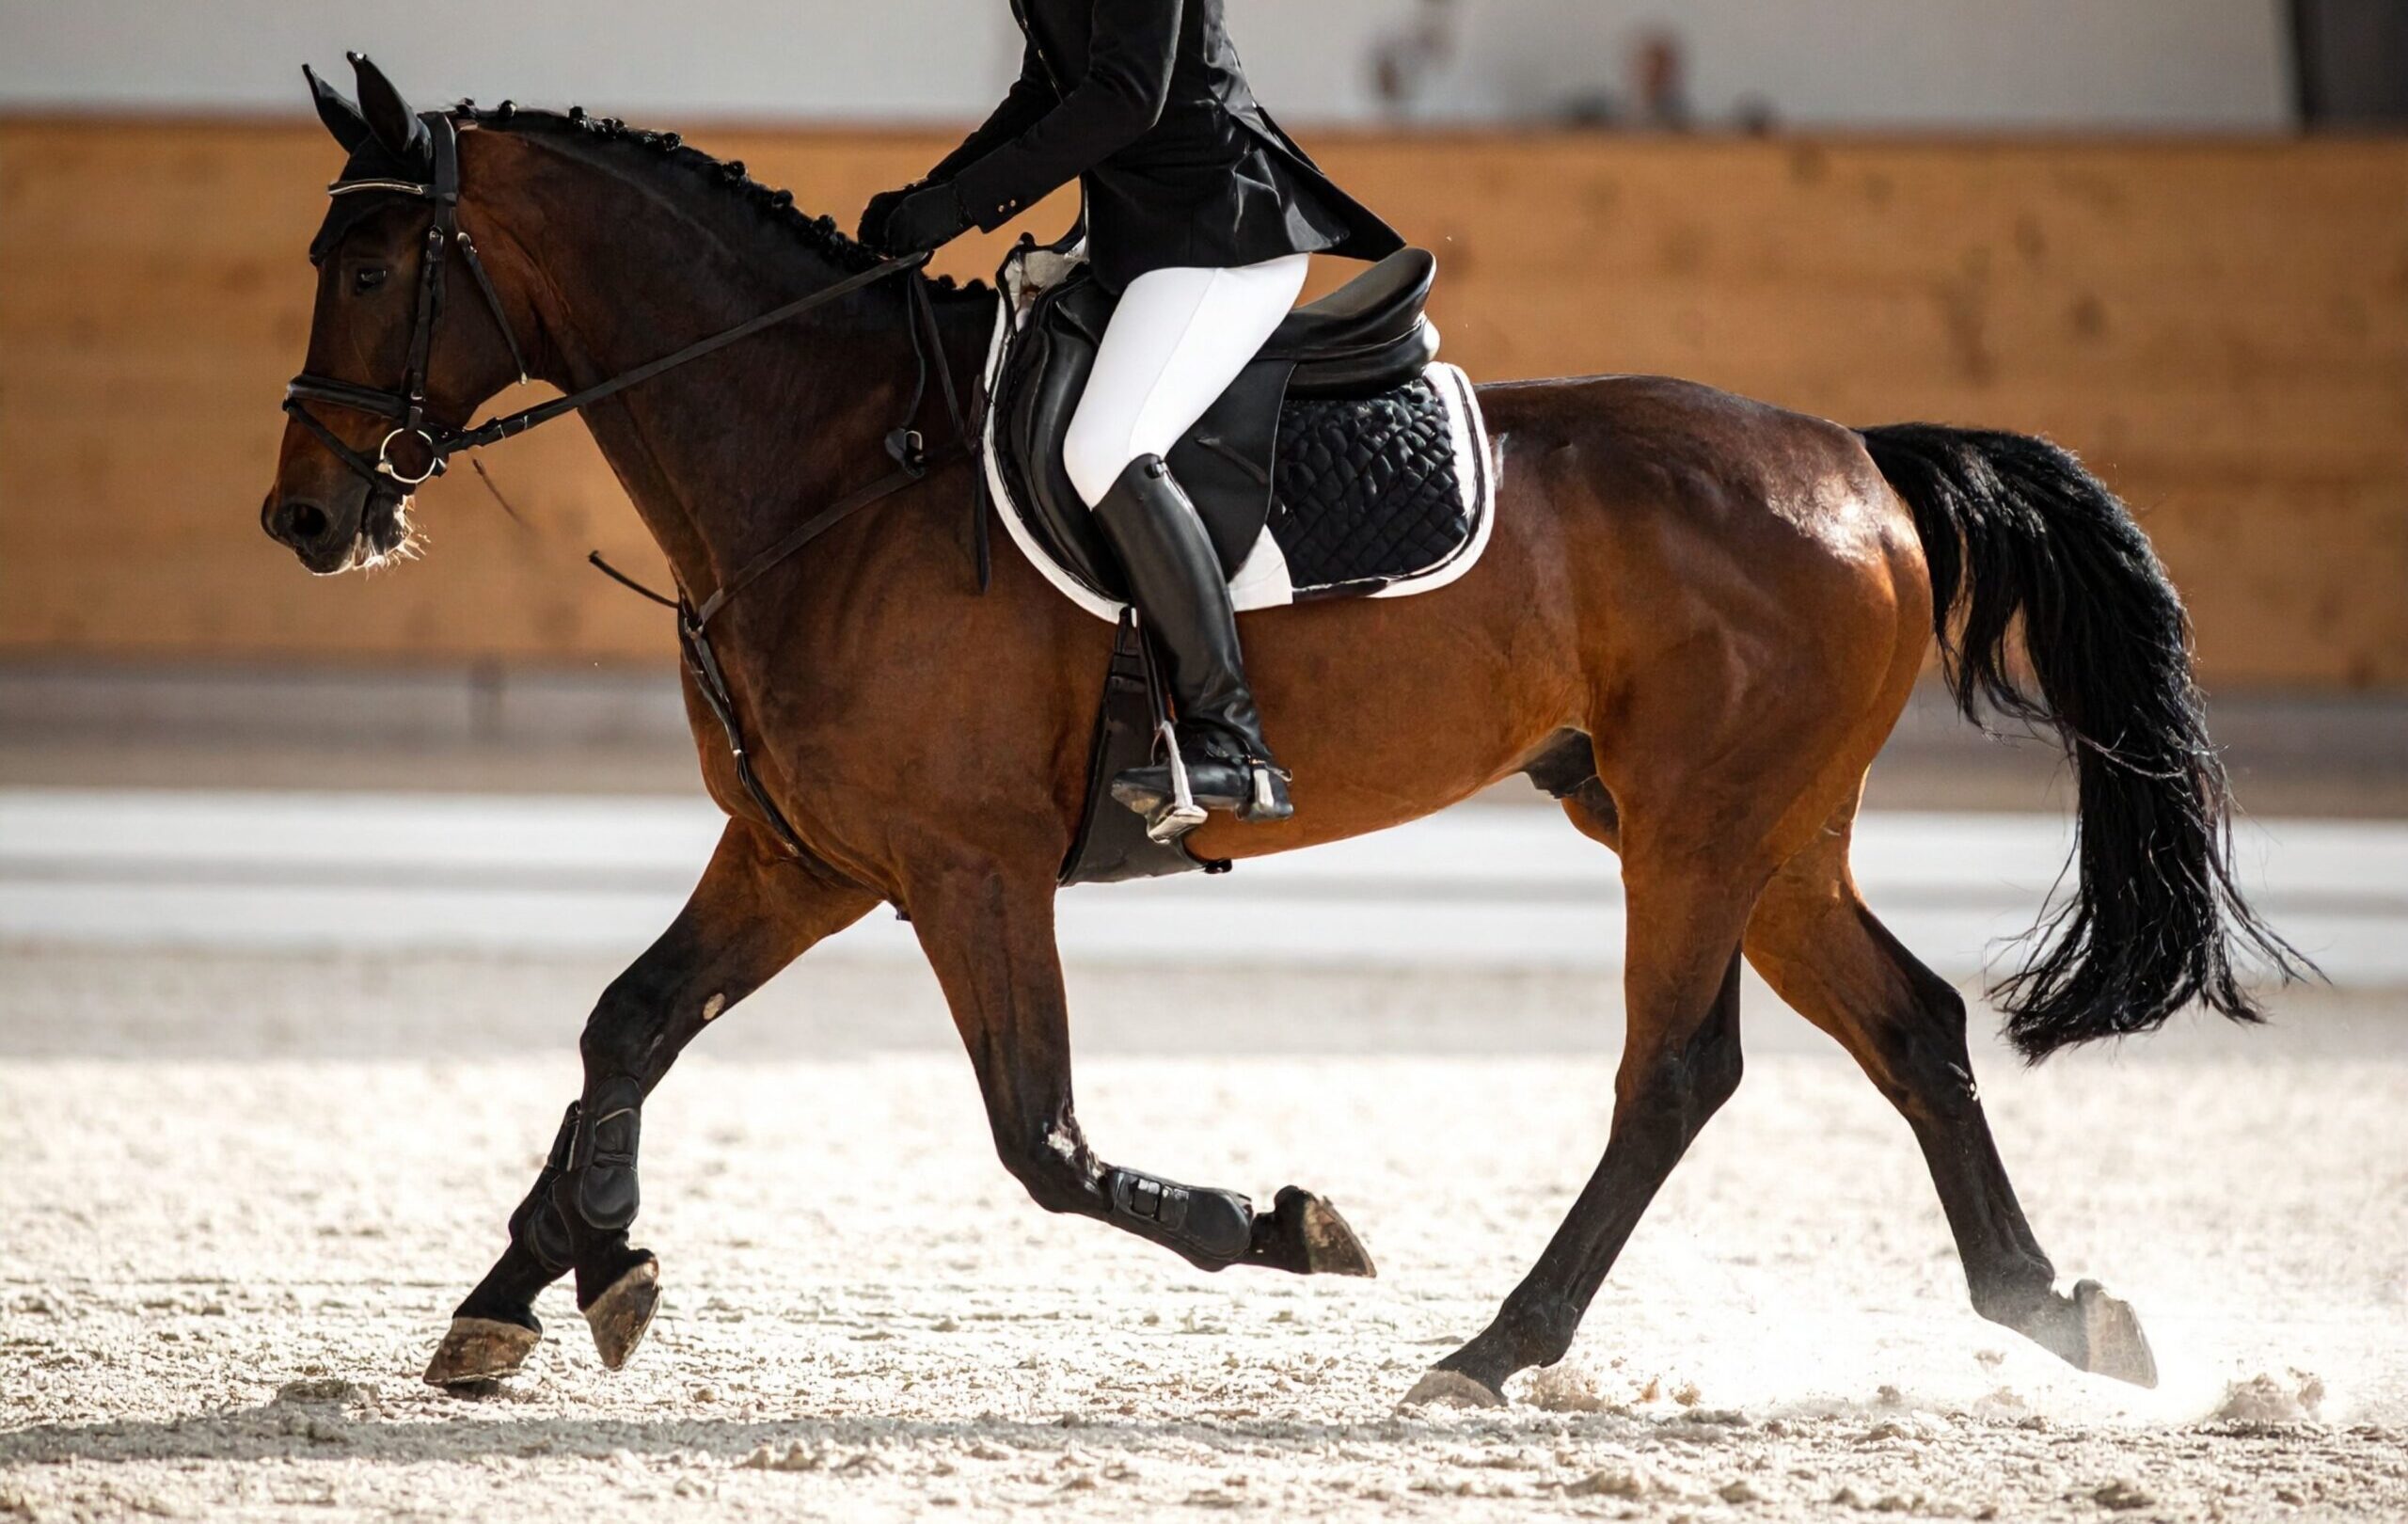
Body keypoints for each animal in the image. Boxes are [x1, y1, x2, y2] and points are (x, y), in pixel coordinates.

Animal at [261, 60, 2298, 1406]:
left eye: (368, 272)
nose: (306, 520)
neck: (830, 461)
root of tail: (1855, 459)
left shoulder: (963, 869)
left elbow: (1039, 1139)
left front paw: (1290, 1228)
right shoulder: (803, 852)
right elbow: (623, 1027)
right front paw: (536, 1288)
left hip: (1700, 829)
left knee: (1675, 1074)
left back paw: (1492, 1349)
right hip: (1752, 831)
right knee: (1911, 1030)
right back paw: (2056, 1314)